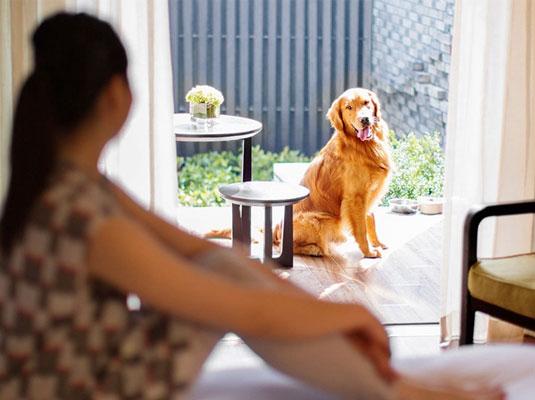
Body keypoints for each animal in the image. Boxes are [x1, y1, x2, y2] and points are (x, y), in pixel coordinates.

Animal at [276, 87, 394, 258]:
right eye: (348, 107)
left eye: (366, 103)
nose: (365, 119)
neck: (363, 145)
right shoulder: (355, 197)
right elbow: (361, 228)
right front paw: (368, 252)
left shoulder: (370, 194)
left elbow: (371, 218)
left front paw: (377, 243)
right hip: (319, 220)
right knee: (284, 247)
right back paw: (314, 249)